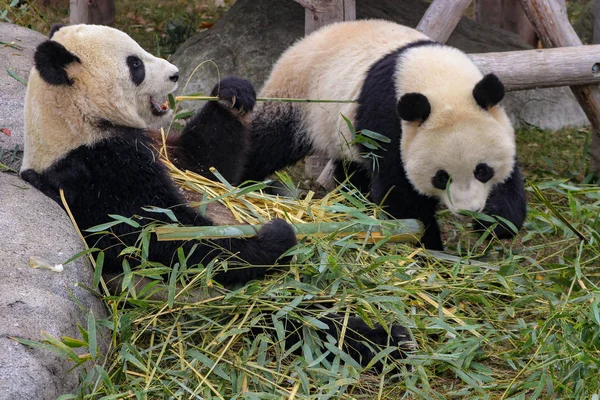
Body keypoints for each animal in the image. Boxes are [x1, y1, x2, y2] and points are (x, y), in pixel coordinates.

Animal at [18, 23, 412, 370]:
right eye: (135, 64)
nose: (175, 75)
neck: (76, 119)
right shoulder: (93, 171)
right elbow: (162, 238)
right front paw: (273, 237)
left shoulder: (163, 148)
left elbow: (209, 163)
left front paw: (232, 94)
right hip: (225, 298)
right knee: (302, 320)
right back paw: (386, 340)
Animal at [237, 20, 528, 250]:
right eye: (441, 177)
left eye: (483, 170)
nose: (469, 210)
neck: (439, 81)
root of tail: (304, 40)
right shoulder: (388, 119)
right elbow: (399, 193)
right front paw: (427, 245)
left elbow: (510, 183)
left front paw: (494, 222)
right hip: (302, 96)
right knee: (269, 139)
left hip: (343, 128)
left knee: (352, 168)